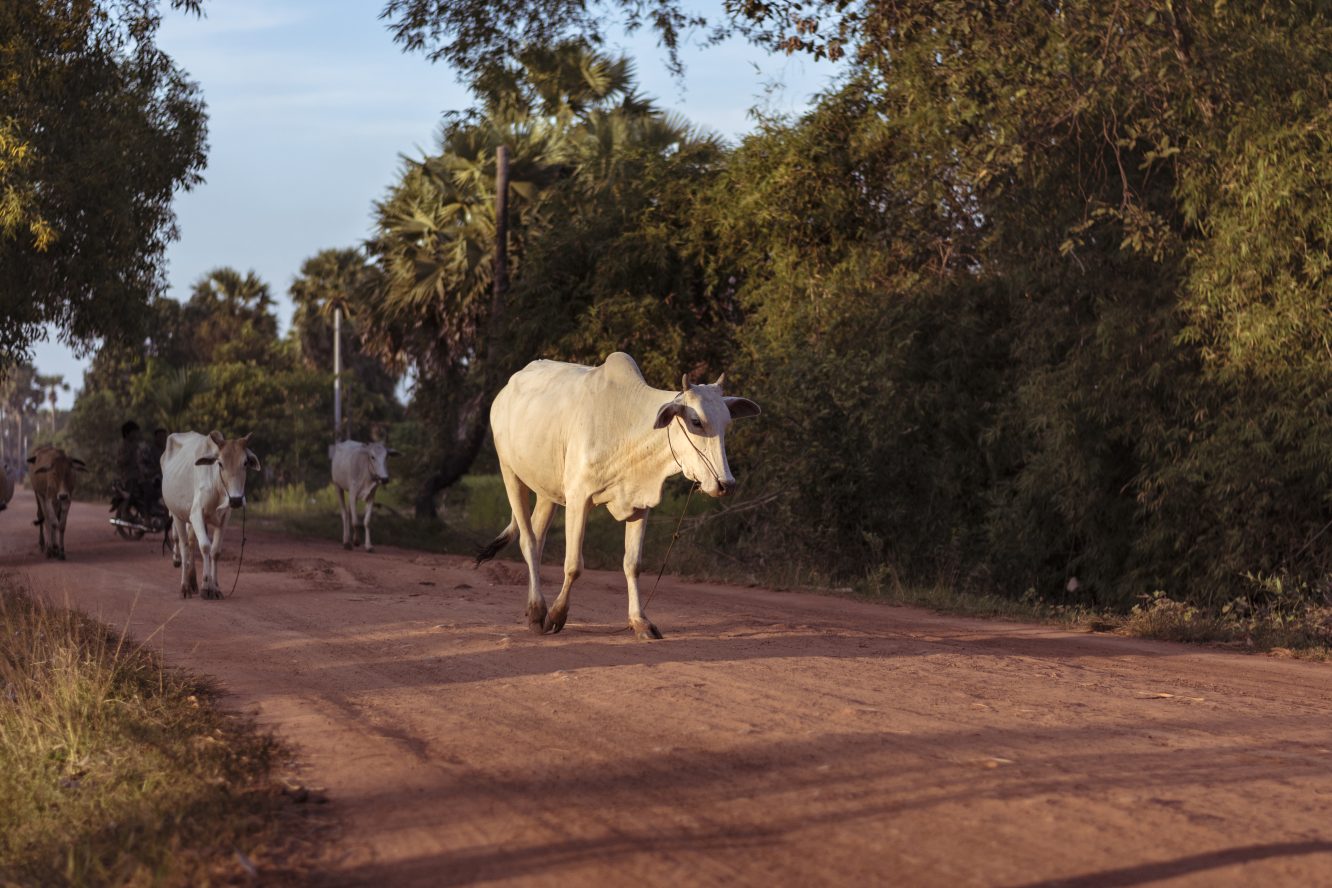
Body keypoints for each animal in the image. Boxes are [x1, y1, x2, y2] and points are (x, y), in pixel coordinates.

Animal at [161, 431, 260, 599]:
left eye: (245, 462)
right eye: (220, 463)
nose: (236, 500)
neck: (218, 487)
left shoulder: (224, 518)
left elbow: (215, 551)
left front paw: (216, 588)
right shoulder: (196, 514)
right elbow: (205, 546)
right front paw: (206, 587)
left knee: (192, 543)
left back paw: (193, 582)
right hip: (177, 515)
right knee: (184, 546)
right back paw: (185, 587)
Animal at [477, 352, 760, 639]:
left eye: (727, 423)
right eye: (696, 421)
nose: (726, 483)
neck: (628, 428)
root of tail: (506, 390)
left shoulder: (640, 504)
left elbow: (632, 564)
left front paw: (640, 621)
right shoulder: (578, 498)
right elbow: (573, 565)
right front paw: (556, 615)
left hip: (547, 491)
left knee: (537, 536)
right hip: (510, 472)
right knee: (528, 541)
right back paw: (537, 611)